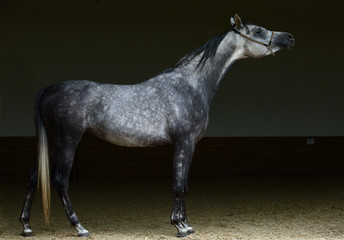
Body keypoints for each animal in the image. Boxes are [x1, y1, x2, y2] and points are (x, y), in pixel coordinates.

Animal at [19, 14, 292, 237]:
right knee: (60, 181)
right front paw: (179, 226)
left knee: (33, 177)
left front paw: (187, 224)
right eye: (257, 30)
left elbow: (185, 184)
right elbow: (179, 185)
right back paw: (79, 227)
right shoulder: (184, 143)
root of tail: (47, 89)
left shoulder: (188, 146)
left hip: (52, 143)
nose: (289, 37)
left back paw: (27, 227)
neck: (190, 85)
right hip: (67, 142)